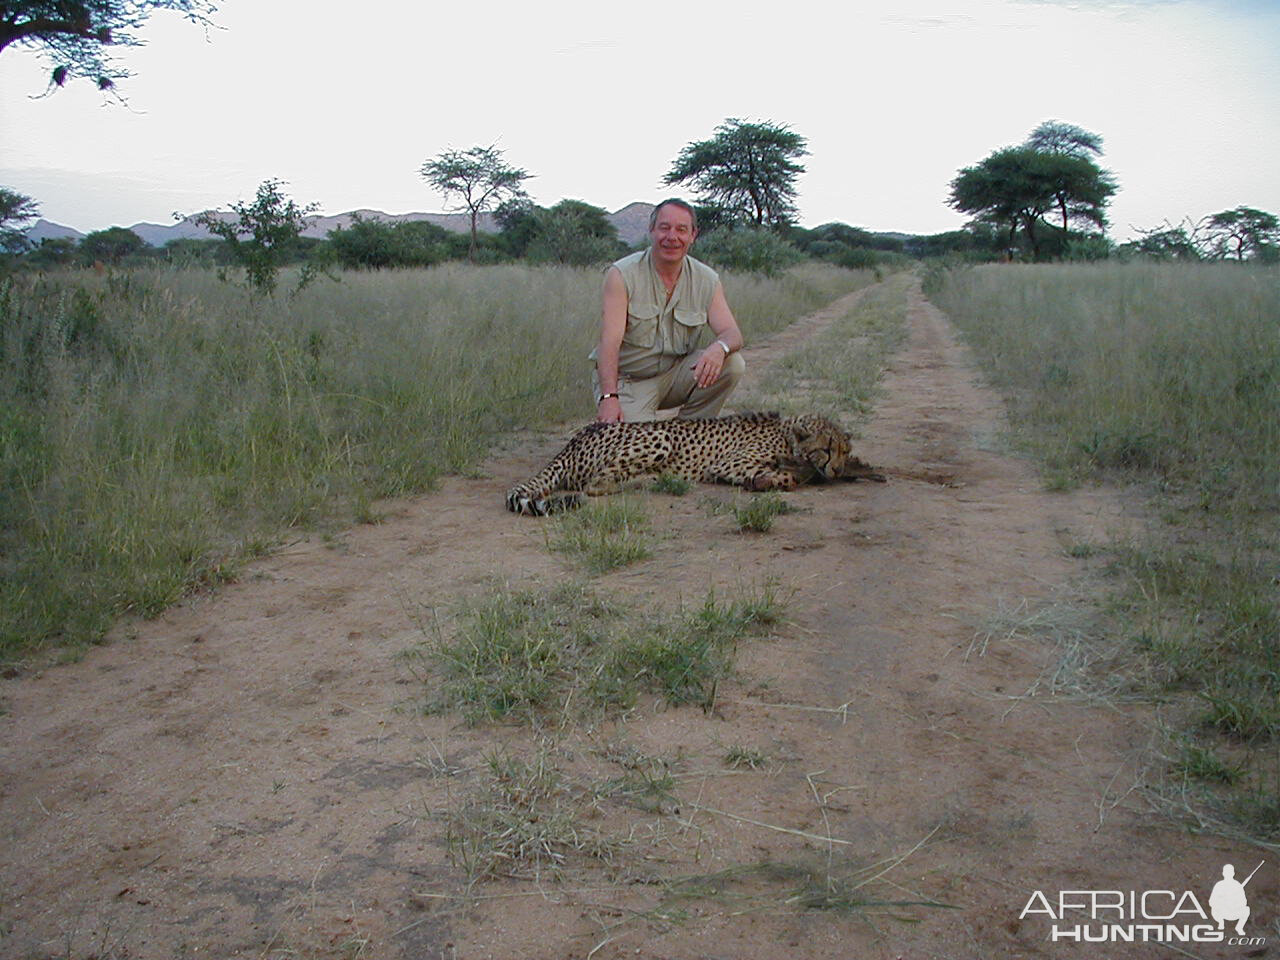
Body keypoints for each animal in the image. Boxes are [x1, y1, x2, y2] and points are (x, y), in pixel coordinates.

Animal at [504, 414, 885, 519]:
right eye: (826, 449)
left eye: (844, 450)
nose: (837, 470)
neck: (788, 433)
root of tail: (577, 436)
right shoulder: (731, 463)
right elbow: (787, 477)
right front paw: (777, 479)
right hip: (659, 437)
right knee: (595, 485)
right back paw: (647, 482)